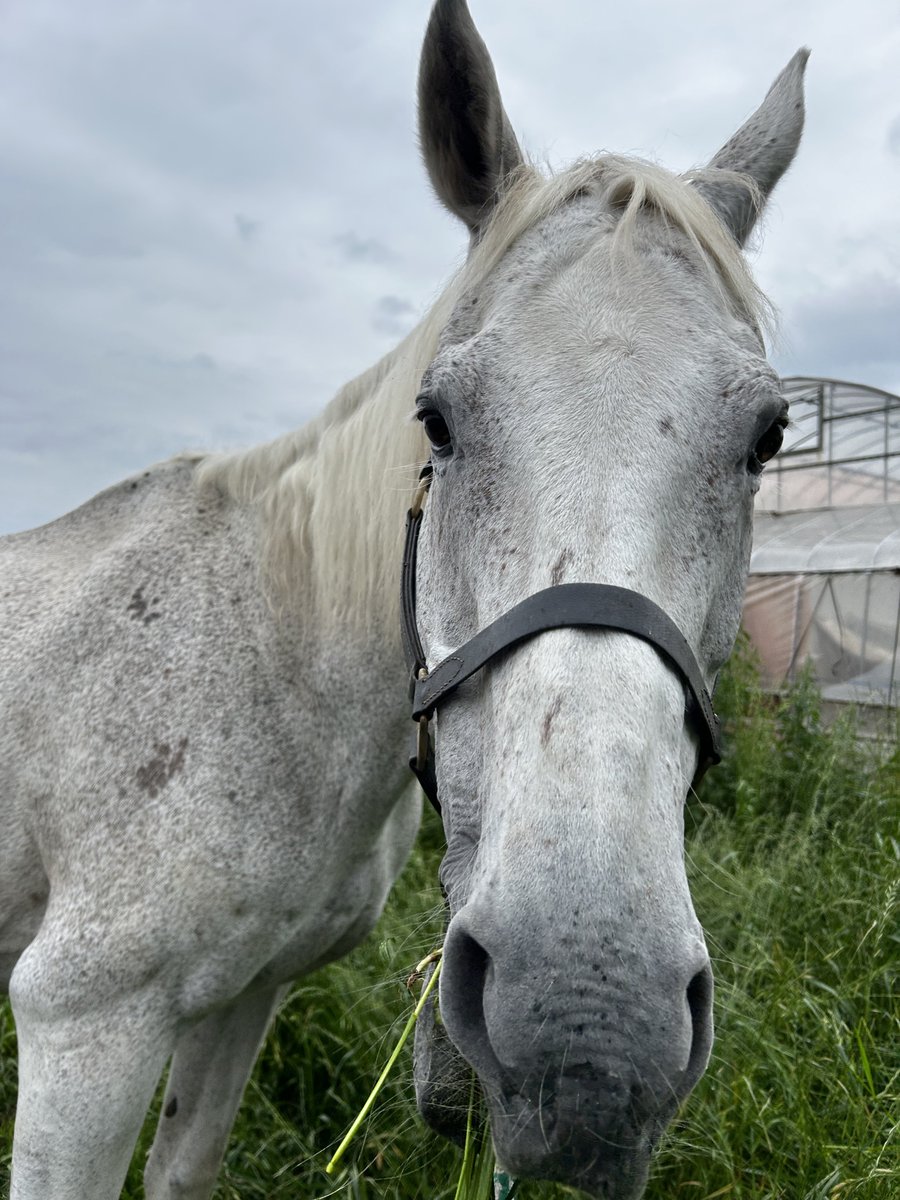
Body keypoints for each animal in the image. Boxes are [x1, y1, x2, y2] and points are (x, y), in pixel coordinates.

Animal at [0, 1, 806, 1196]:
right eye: (437, 420)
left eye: (768, 437)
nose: (586, 1025)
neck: (274, 674)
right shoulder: (86, 1024)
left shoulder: (246, 996)